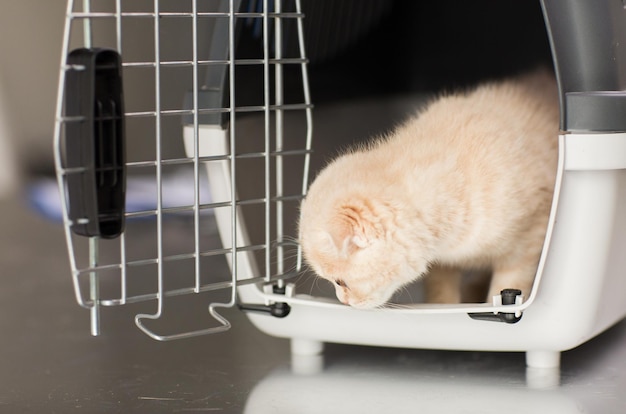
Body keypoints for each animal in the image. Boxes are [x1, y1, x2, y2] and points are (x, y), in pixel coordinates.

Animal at [298, 70, 556, 308]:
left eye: (340, 282)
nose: (342, 301)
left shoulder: (530, 237)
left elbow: (508, 289)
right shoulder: (442, 261)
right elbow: (441, 290)